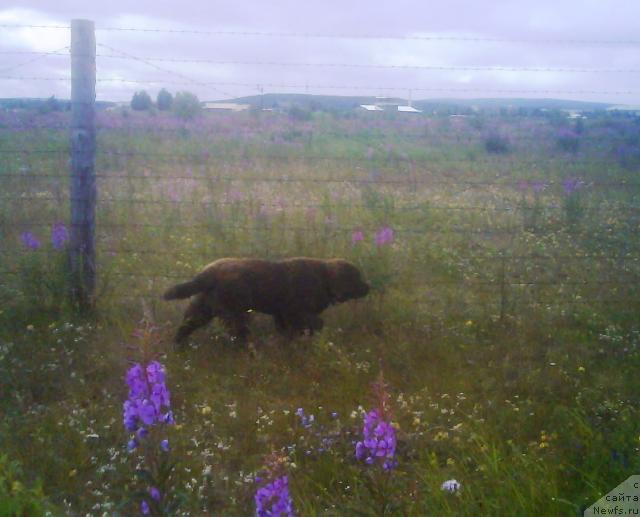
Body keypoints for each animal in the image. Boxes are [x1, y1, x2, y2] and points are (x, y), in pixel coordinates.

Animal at [162, 256, 370, 344]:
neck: (324, 278)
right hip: (235, 314)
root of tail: (208, 272)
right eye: (356, 277)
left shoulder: (282, 315)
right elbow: (315, 323)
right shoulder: (294, 312)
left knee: (183, 329)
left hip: (201, 309)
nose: (368, 287)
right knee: (240, 336)